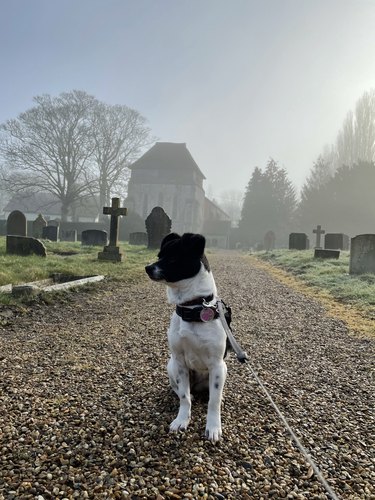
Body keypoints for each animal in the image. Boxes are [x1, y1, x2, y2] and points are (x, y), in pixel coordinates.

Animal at [145, 232, 228, 444]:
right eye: (159, 255)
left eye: (173, 258)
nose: (147, 267)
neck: (193, 309)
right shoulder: (180, 363)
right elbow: (184, 397)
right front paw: (182, 419)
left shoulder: (217, 365)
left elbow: (213, 401)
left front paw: (213, 427)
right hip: (171, 366)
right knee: (183, 391)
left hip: (224, 369)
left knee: (212, 394)